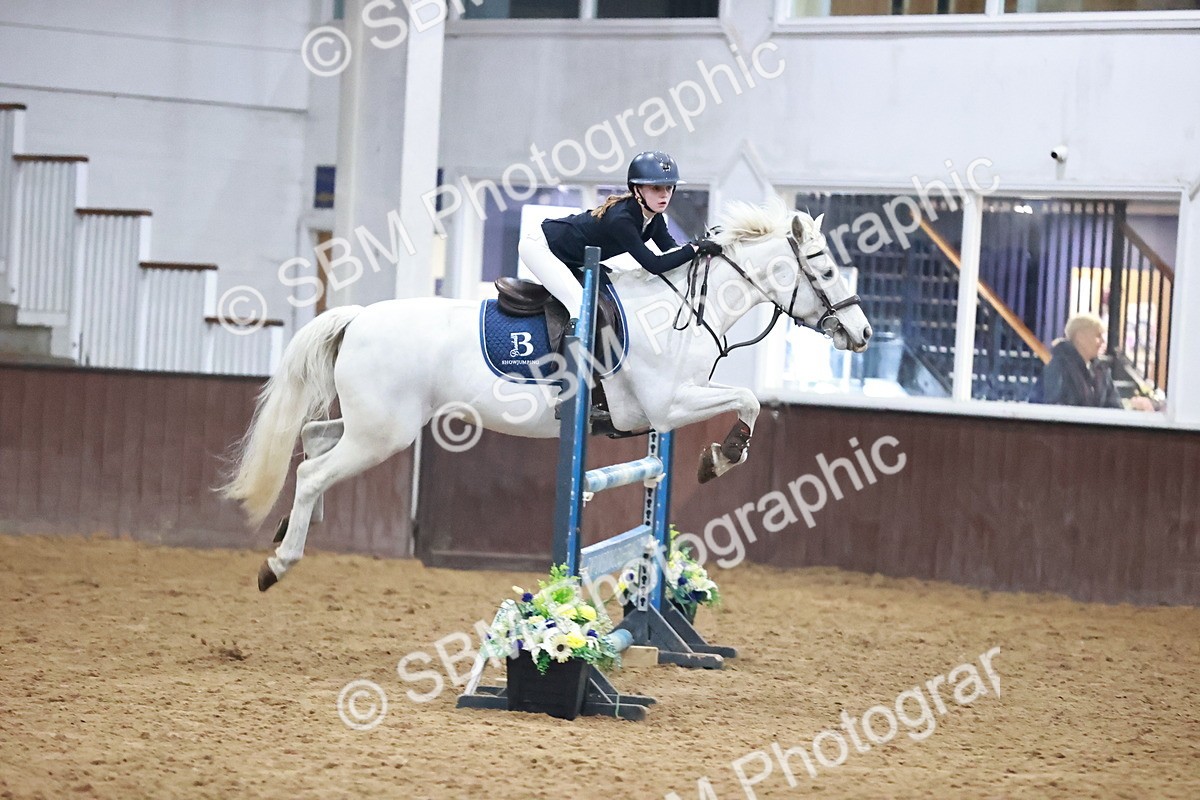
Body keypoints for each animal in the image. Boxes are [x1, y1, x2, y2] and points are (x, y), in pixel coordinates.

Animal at [221, 200, 873, 590]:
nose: (863, 334)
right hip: (384, 433)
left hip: (375, 424)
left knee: (313, 441)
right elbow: (747, 401)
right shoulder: (668, 406)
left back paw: (289, 528)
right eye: (823, 269)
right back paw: (277, 563)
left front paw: (717, 457)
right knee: (315, 470)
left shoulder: (675, 404)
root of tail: (357, 317)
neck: (685, 309)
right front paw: (722, 458)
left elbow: (746, 400)